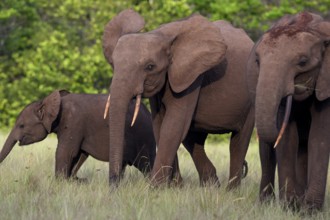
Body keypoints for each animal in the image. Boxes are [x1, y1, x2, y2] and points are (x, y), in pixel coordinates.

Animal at [0, 90, 156, 180]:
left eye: (21, 126)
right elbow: (79, 154)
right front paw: (72, 180)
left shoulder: (73, 122)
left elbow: (66, 152)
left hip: (143, 136)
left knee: (146, 164)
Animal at [104, 9, 254, 188]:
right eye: (113, 64)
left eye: (150, 67)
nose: (115, 184)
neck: (161, 35)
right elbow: (160, 126)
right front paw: (173, 188)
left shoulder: (191, 75)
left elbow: (173, 125)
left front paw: (154, 189)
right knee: (193, 139)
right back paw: (211, 186)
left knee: (239, 141)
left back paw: (230, 191)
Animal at [248, 11, 330, 211]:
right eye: (257, 61)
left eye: (303, 62)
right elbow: (287, 138)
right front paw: (289, 207)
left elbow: (320, 137)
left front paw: (310, 211)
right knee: (267, 151)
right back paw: (266, 204)